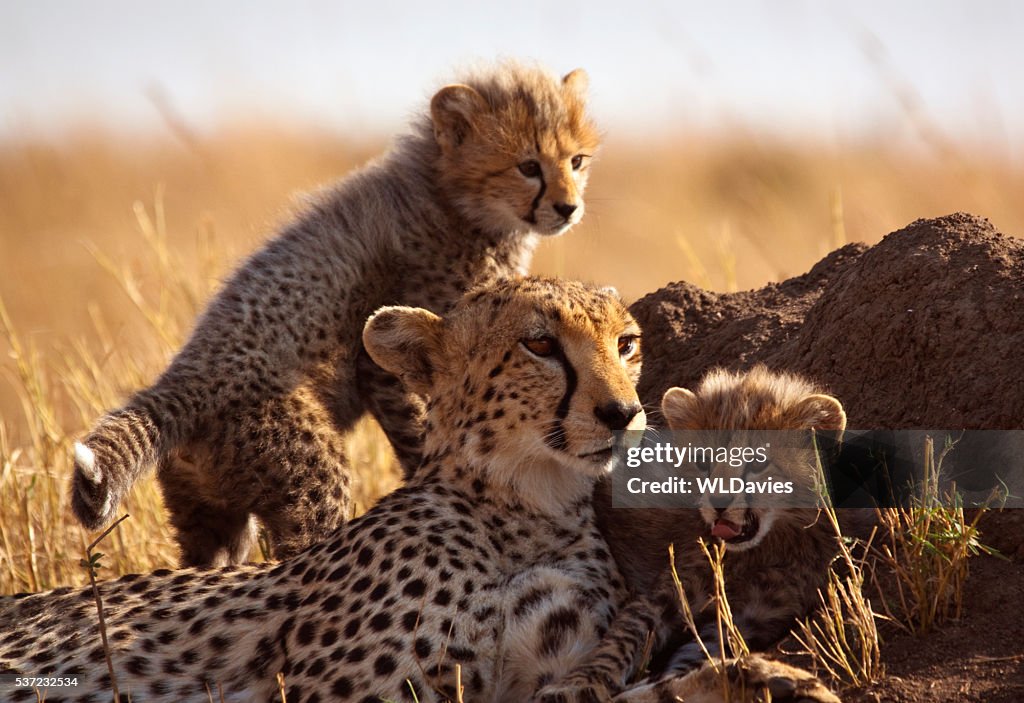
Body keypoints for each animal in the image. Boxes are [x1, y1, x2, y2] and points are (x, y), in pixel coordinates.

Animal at [0, 282, 835, 703]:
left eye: (625, 342)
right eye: (540, 342)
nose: (623, 412)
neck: (526, 505)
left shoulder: (538, 673)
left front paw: (766, 679)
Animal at [72, 59, 598, 564]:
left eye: (576, 161)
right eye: (528, 166)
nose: (569, 208)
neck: (449, 196)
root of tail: (180, 379)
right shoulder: (386, 360)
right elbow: (421, 428)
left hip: (211, 516)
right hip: (309, 474)